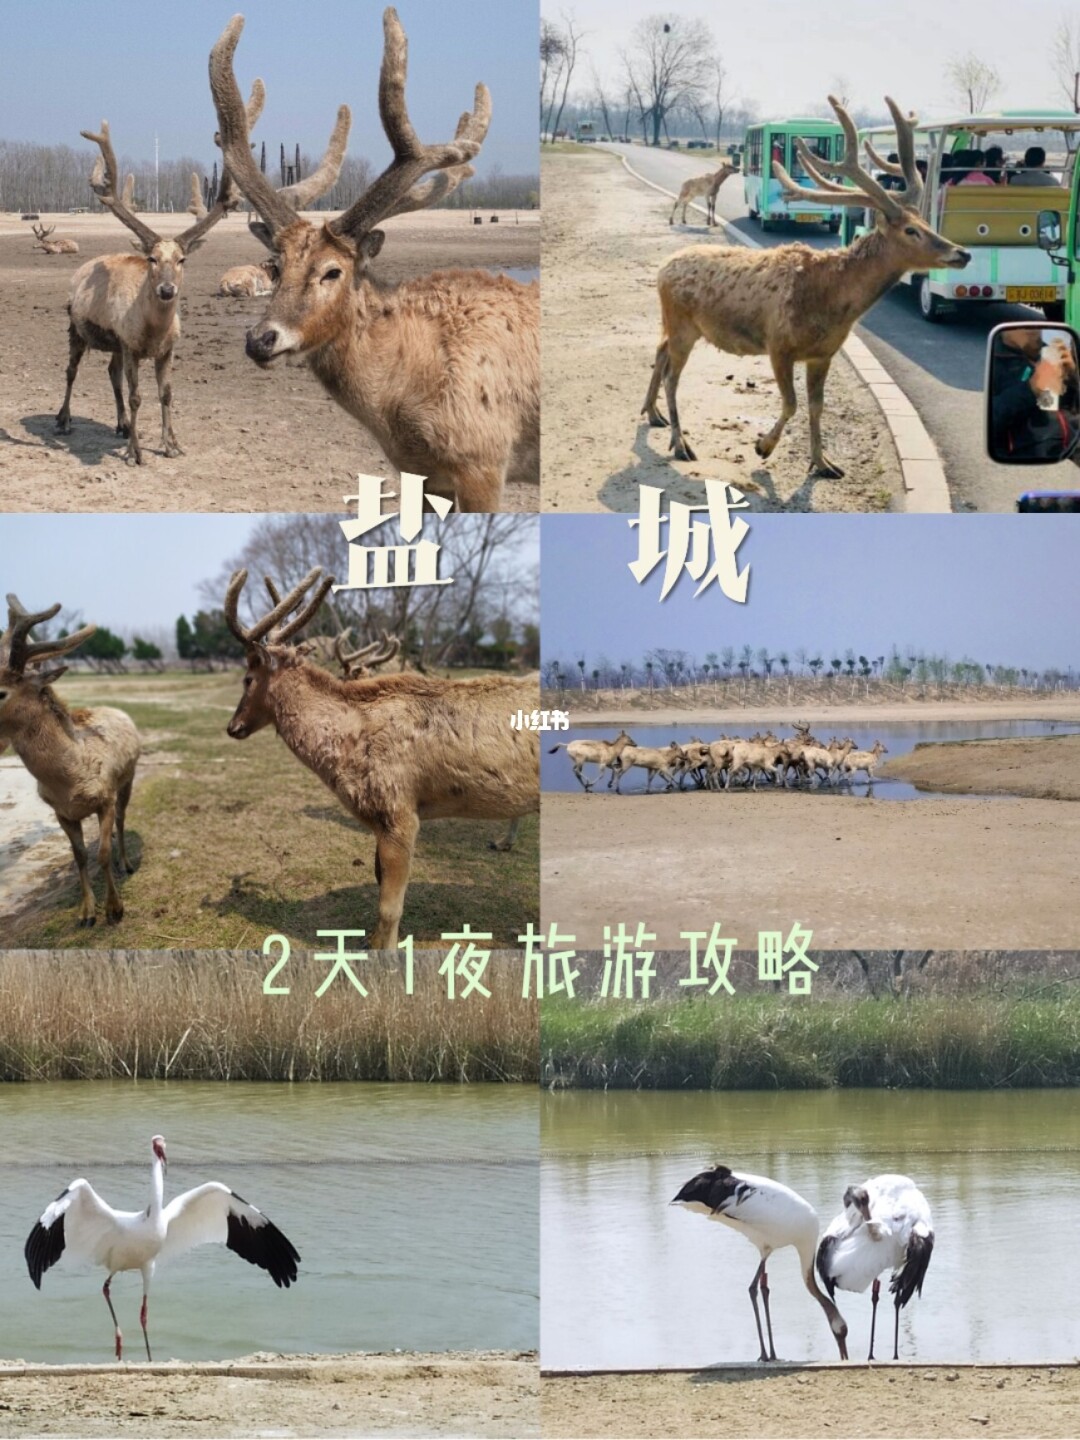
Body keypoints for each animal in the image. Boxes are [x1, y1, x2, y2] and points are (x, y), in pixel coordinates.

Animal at [0, 595, 140, 927]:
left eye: (0, 692)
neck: (69, 780)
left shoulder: (106, 797)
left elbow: (102, 853)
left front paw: (114, 909)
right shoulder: (61, 812)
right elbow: (79, 856)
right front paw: (87, 912)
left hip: (128, 780)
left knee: (122, 820)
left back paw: (125, 864)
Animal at [54, 114, 254, 466]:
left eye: (182, 259)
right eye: (152, 258)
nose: (166, 289)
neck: (152, 333)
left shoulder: (164, 349)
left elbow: (166, 393)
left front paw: (171, 444)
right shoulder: (130, 345)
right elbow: (137, 396)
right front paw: (135, 453)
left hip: (114, 344)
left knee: (111, 372)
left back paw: (121, 425)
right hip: (76, 327)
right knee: (71, 370)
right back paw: (64, 420)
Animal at [223, 568, 539, 948]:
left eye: (248, 678)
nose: (232, 727)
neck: (347, 748)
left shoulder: (399, 811)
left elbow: (390, 906)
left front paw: (382, 949)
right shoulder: (381, 818)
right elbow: (377, 880)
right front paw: (371, 940)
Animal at [643, 96, 971, 478]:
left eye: (925, 221)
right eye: (911, 230)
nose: (961, 253)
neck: (831, 304)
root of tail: (662, 269)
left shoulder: (823, 354)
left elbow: (817, 406)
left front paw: (823, 463)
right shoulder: (778, 345)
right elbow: (792, 404)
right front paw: (763, 446)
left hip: (674, 324)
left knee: (659, 352)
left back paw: (652, 414)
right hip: (682, 325)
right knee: (672, 376)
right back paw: (680, 443)